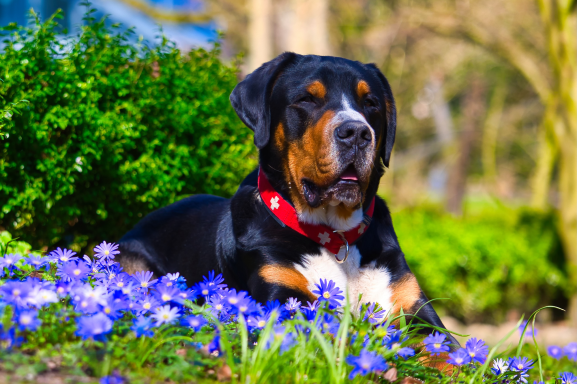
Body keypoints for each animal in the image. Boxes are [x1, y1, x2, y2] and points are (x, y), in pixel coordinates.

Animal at [117, 51, 456, 342]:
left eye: (370, 102)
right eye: (306, 99)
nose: (357, 133)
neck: (336, 237)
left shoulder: (414, 308)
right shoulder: (283, 296)